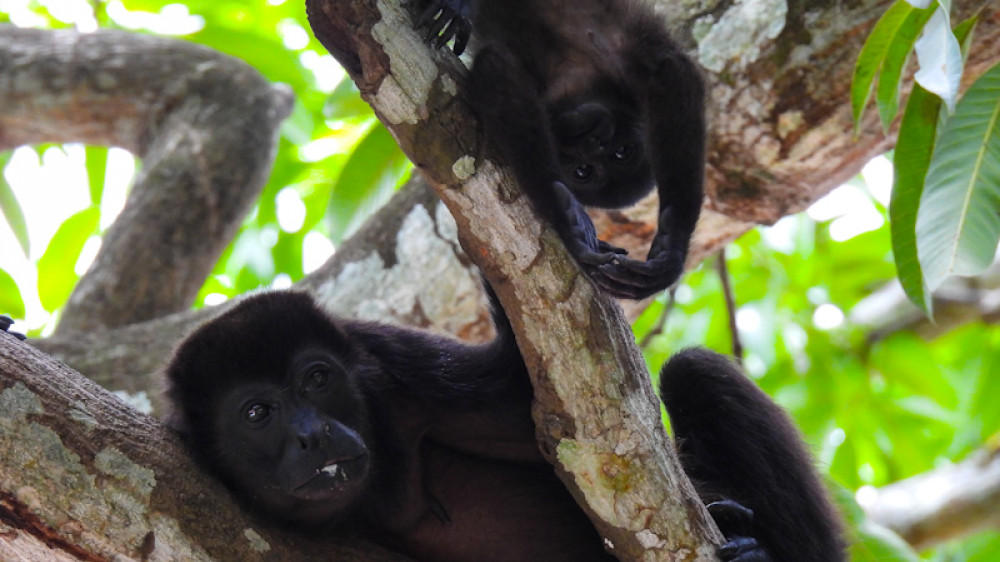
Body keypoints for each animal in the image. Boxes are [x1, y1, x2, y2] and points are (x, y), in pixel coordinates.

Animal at [164, 286, 844, 556]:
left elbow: (543, 394)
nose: (312, 433)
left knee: (694, 370)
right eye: (258, 413)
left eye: (316, 379)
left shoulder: (397, 370)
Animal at [410, 0, 708, 300]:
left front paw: (671, 247)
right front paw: (567, 222)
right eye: (622, 152)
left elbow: (496, 66)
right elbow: (674, 71)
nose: (590, 141)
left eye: (584, 170)